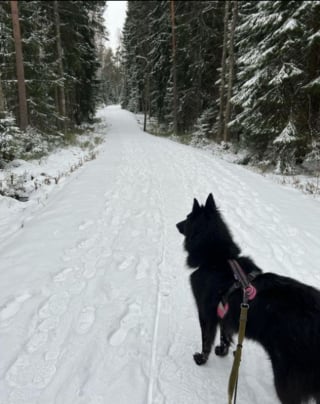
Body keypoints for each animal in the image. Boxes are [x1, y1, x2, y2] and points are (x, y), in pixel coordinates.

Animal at [176, 193, 320, 404]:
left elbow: (206, 341)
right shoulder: (225, 314)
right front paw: (222, 352)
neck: (216, 258)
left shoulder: (206, 314)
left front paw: (201, 360)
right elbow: (225, 336)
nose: (176, 224)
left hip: (285, 381)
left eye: (187, 218)